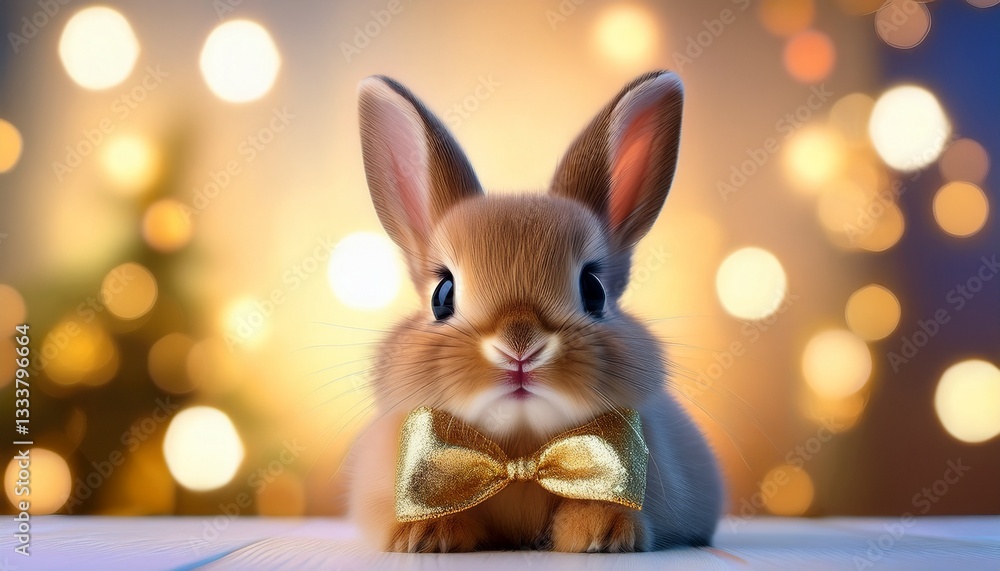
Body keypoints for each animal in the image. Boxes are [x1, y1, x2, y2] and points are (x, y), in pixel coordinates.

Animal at [345, 70, 724, 553]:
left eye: (593, 290)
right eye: (442, 295)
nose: (519, 348)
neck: (521, 449)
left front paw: (600, 534)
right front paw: (424, 536)